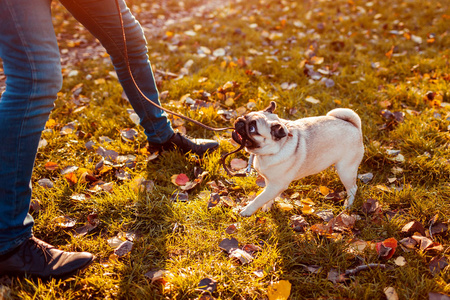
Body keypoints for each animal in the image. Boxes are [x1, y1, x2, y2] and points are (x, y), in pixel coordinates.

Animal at [232, 102, 366, 217]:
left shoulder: (276, 184)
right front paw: (267, 206)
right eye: (245, 116)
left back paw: (348, 206)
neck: (271, 150)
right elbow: (267, 196)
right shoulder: (270, 183)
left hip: (345, 171)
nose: (240, 121)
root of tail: (353, 125)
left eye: (252, 129)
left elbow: (260, 198)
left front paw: (247, 210)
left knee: (352, 188)